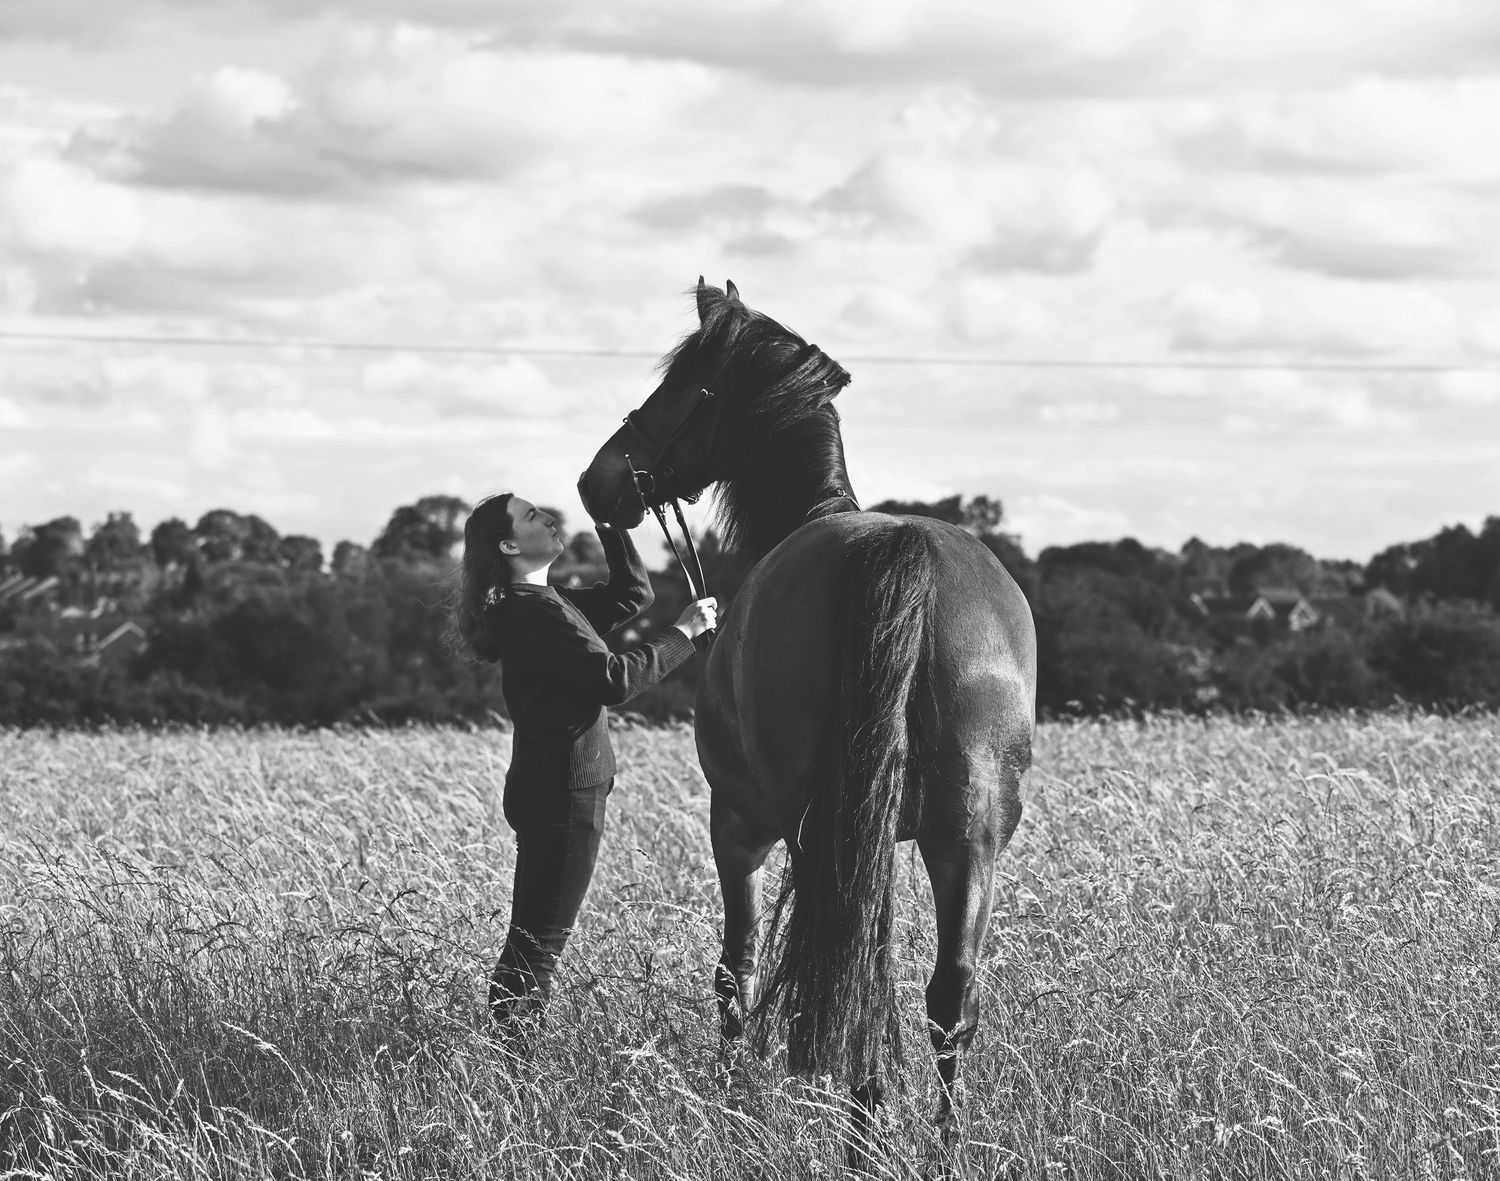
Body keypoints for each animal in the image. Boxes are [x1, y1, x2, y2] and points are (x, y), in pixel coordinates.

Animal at [577, 279, 1036, 1143]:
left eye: (678, 387)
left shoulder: (739, 823)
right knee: (944, 994)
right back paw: (935, 1142)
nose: (599, 479)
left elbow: (736, 967)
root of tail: (902, 555)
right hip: (967, 836)